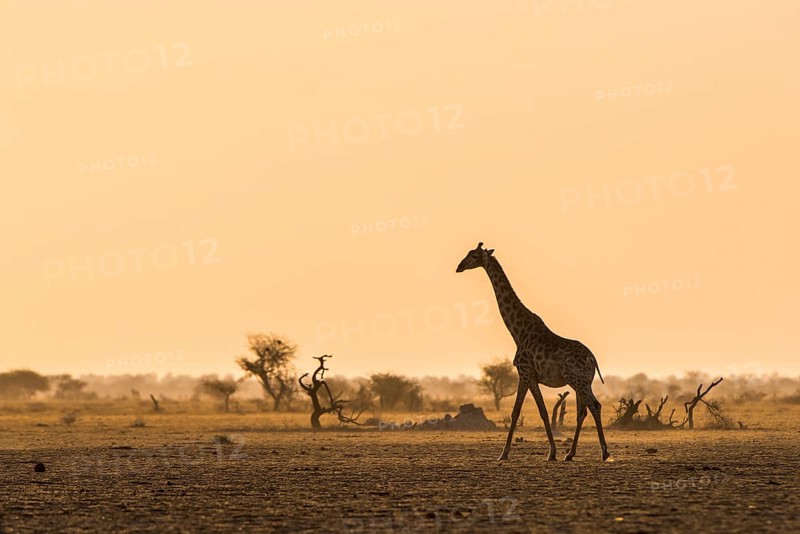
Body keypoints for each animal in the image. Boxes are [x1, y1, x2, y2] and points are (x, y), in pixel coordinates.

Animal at [456, 242, 610, 462]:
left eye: (474, 256)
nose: (459, 267)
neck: (517, 331)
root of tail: (592, 358)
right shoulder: (525, 376)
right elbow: (517, 412)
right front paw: (505, 453)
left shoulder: (526, 373)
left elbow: (541, 411)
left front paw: (549, 453)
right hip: (582, 382)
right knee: (583, 411)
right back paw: (570, 454)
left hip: (577, 381)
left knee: (594, 406)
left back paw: (604, 452)